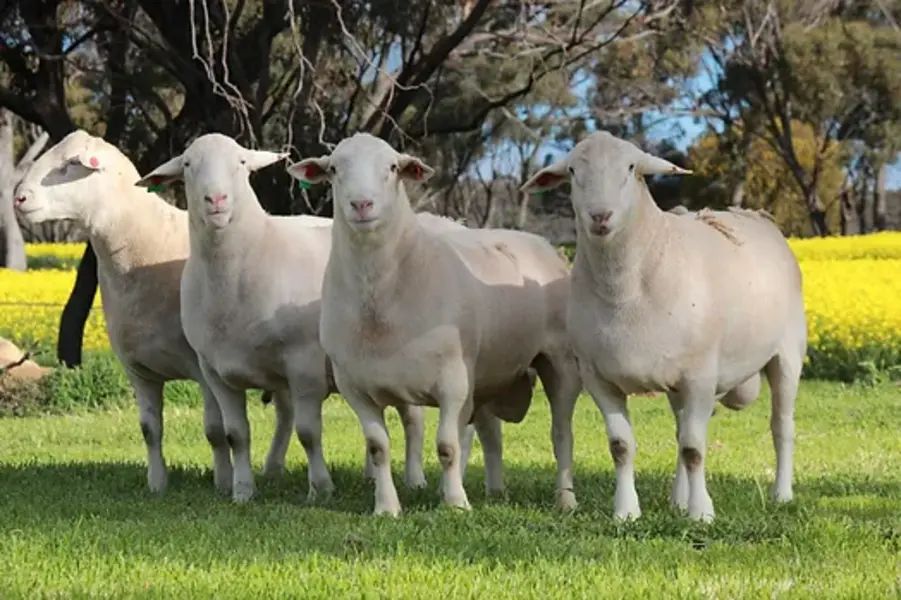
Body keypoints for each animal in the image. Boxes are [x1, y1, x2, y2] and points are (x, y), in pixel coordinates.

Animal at [12, 130, 294, 493]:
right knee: (287, 410)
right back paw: (273, 468)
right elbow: (149, 430)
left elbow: (215, 431)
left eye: (70, 164)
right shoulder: (137, 368)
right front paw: (157, 485)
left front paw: (222, 482)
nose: (19, 198)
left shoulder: (202, 366)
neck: (140, 251)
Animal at [136, 133, 436, 503]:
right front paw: (242, 491)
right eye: (188, 165)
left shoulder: (304, 364)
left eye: (241, 163)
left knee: (413, 418)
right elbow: (236, 434)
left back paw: (414, 478)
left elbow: (308, 432)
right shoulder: (216, 372)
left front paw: (321, 488)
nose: (216, 199)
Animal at [288, 133, 582, 516]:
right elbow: (377, 447)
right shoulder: (354, 385)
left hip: (558, 361)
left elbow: (447, 446)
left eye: (392, 167)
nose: (362, 204)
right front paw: (386, 507)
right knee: (491, 433)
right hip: (489, 375)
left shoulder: (453, 382)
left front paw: (456, 503)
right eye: (334, 169)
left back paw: (565, 499)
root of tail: (540, 242)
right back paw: (495, 491)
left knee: (561, 432)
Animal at [521, 131, 806, 522]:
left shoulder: (700, 376)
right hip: (675, 382)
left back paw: (782, 494)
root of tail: (755, 215)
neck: (624, 292)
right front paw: (626, 511)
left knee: (782, 426)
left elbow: (694, 448)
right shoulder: (599, 377)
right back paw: (677, 498)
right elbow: (622, 446)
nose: (600, 216)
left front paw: (701, 514)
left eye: (631, 167)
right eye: (573, 171)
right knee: (679, 429)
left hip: (788, 353)